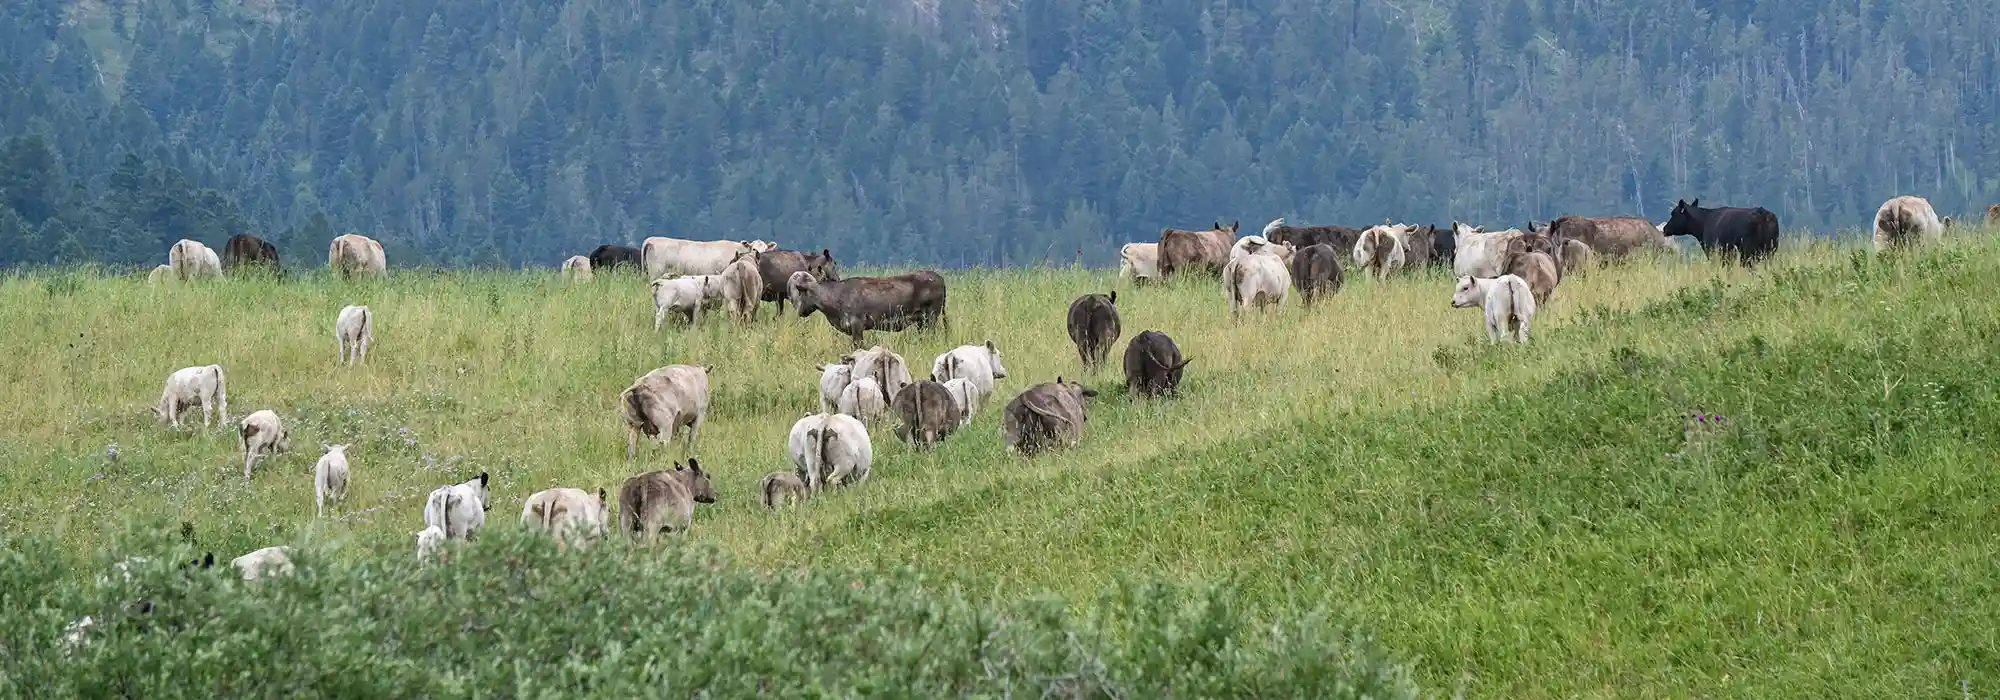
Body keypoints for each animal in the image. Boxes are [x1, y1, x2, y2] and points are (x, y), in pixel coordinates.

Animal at [790, 271, 949, 347]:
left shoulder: (857, 324)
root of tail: (939, 277)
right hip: (921, 321)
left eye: (801, 292)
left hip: (931, 316)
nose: (800, 311)